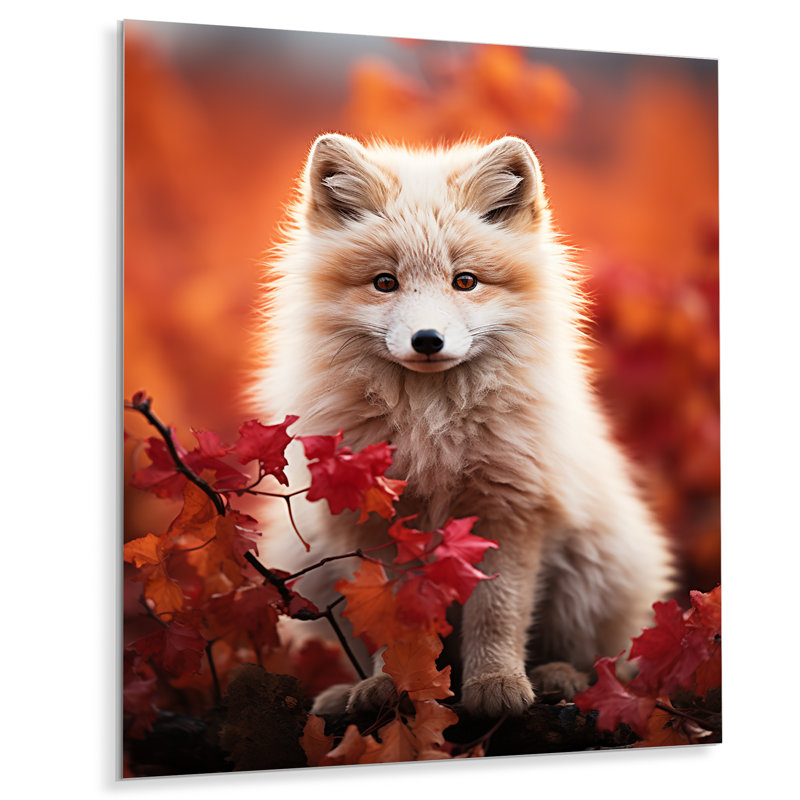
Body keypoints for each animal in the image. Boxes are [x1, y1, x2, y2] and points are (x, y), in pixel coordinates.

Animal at [253, 133, 675, 718]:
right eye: (385, 282)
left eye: (465, 281)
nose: (427, 340)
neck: (431, 429)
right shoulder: (378, 525)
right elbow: (393, 624)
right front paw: (391, 687)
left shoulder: (509, 510)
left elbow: (496, 613)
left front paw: (496, 684)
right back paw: (345, 694)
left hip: (591, 574)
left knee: (605, 661)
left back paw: (560, 678)